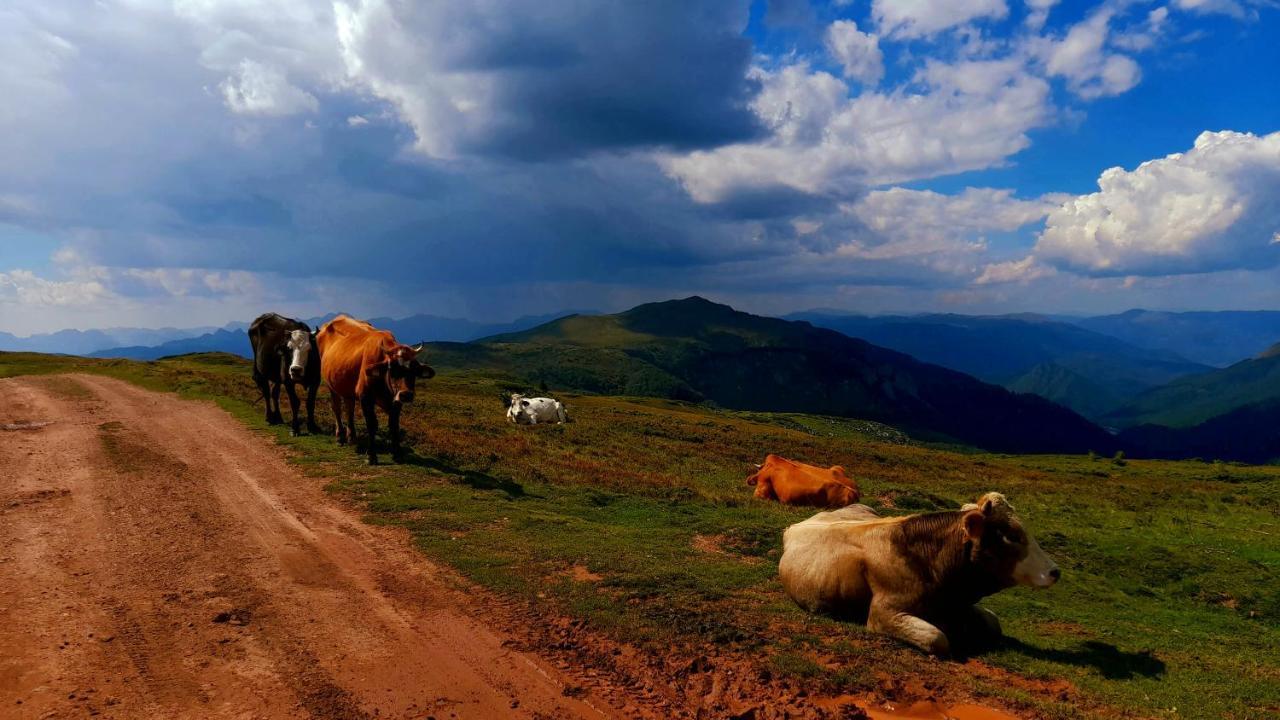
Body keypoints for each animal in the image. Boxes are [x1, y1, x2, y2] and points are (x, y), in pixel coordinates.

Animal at [314, 315, 435, 461]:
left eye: (414, 369)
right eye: (391, 368)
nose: (406, 394)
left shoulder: (396, 401)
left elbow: (394, 425)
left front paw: (397, 452)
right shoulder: (365, 397)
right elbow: (372, 424)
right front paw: (371, 455)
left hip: (347, 387)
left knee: (349, 407)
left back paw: (352, 437)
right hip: (331, 385)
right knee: (336, 408)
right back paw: (340, 437)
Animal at [778, 489, 1059, 653]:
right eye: (1012, 536)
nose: (1055, 571)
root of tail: (796, 525)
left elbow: (993, 622)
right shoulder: (883, 615)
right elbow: (938, 638)